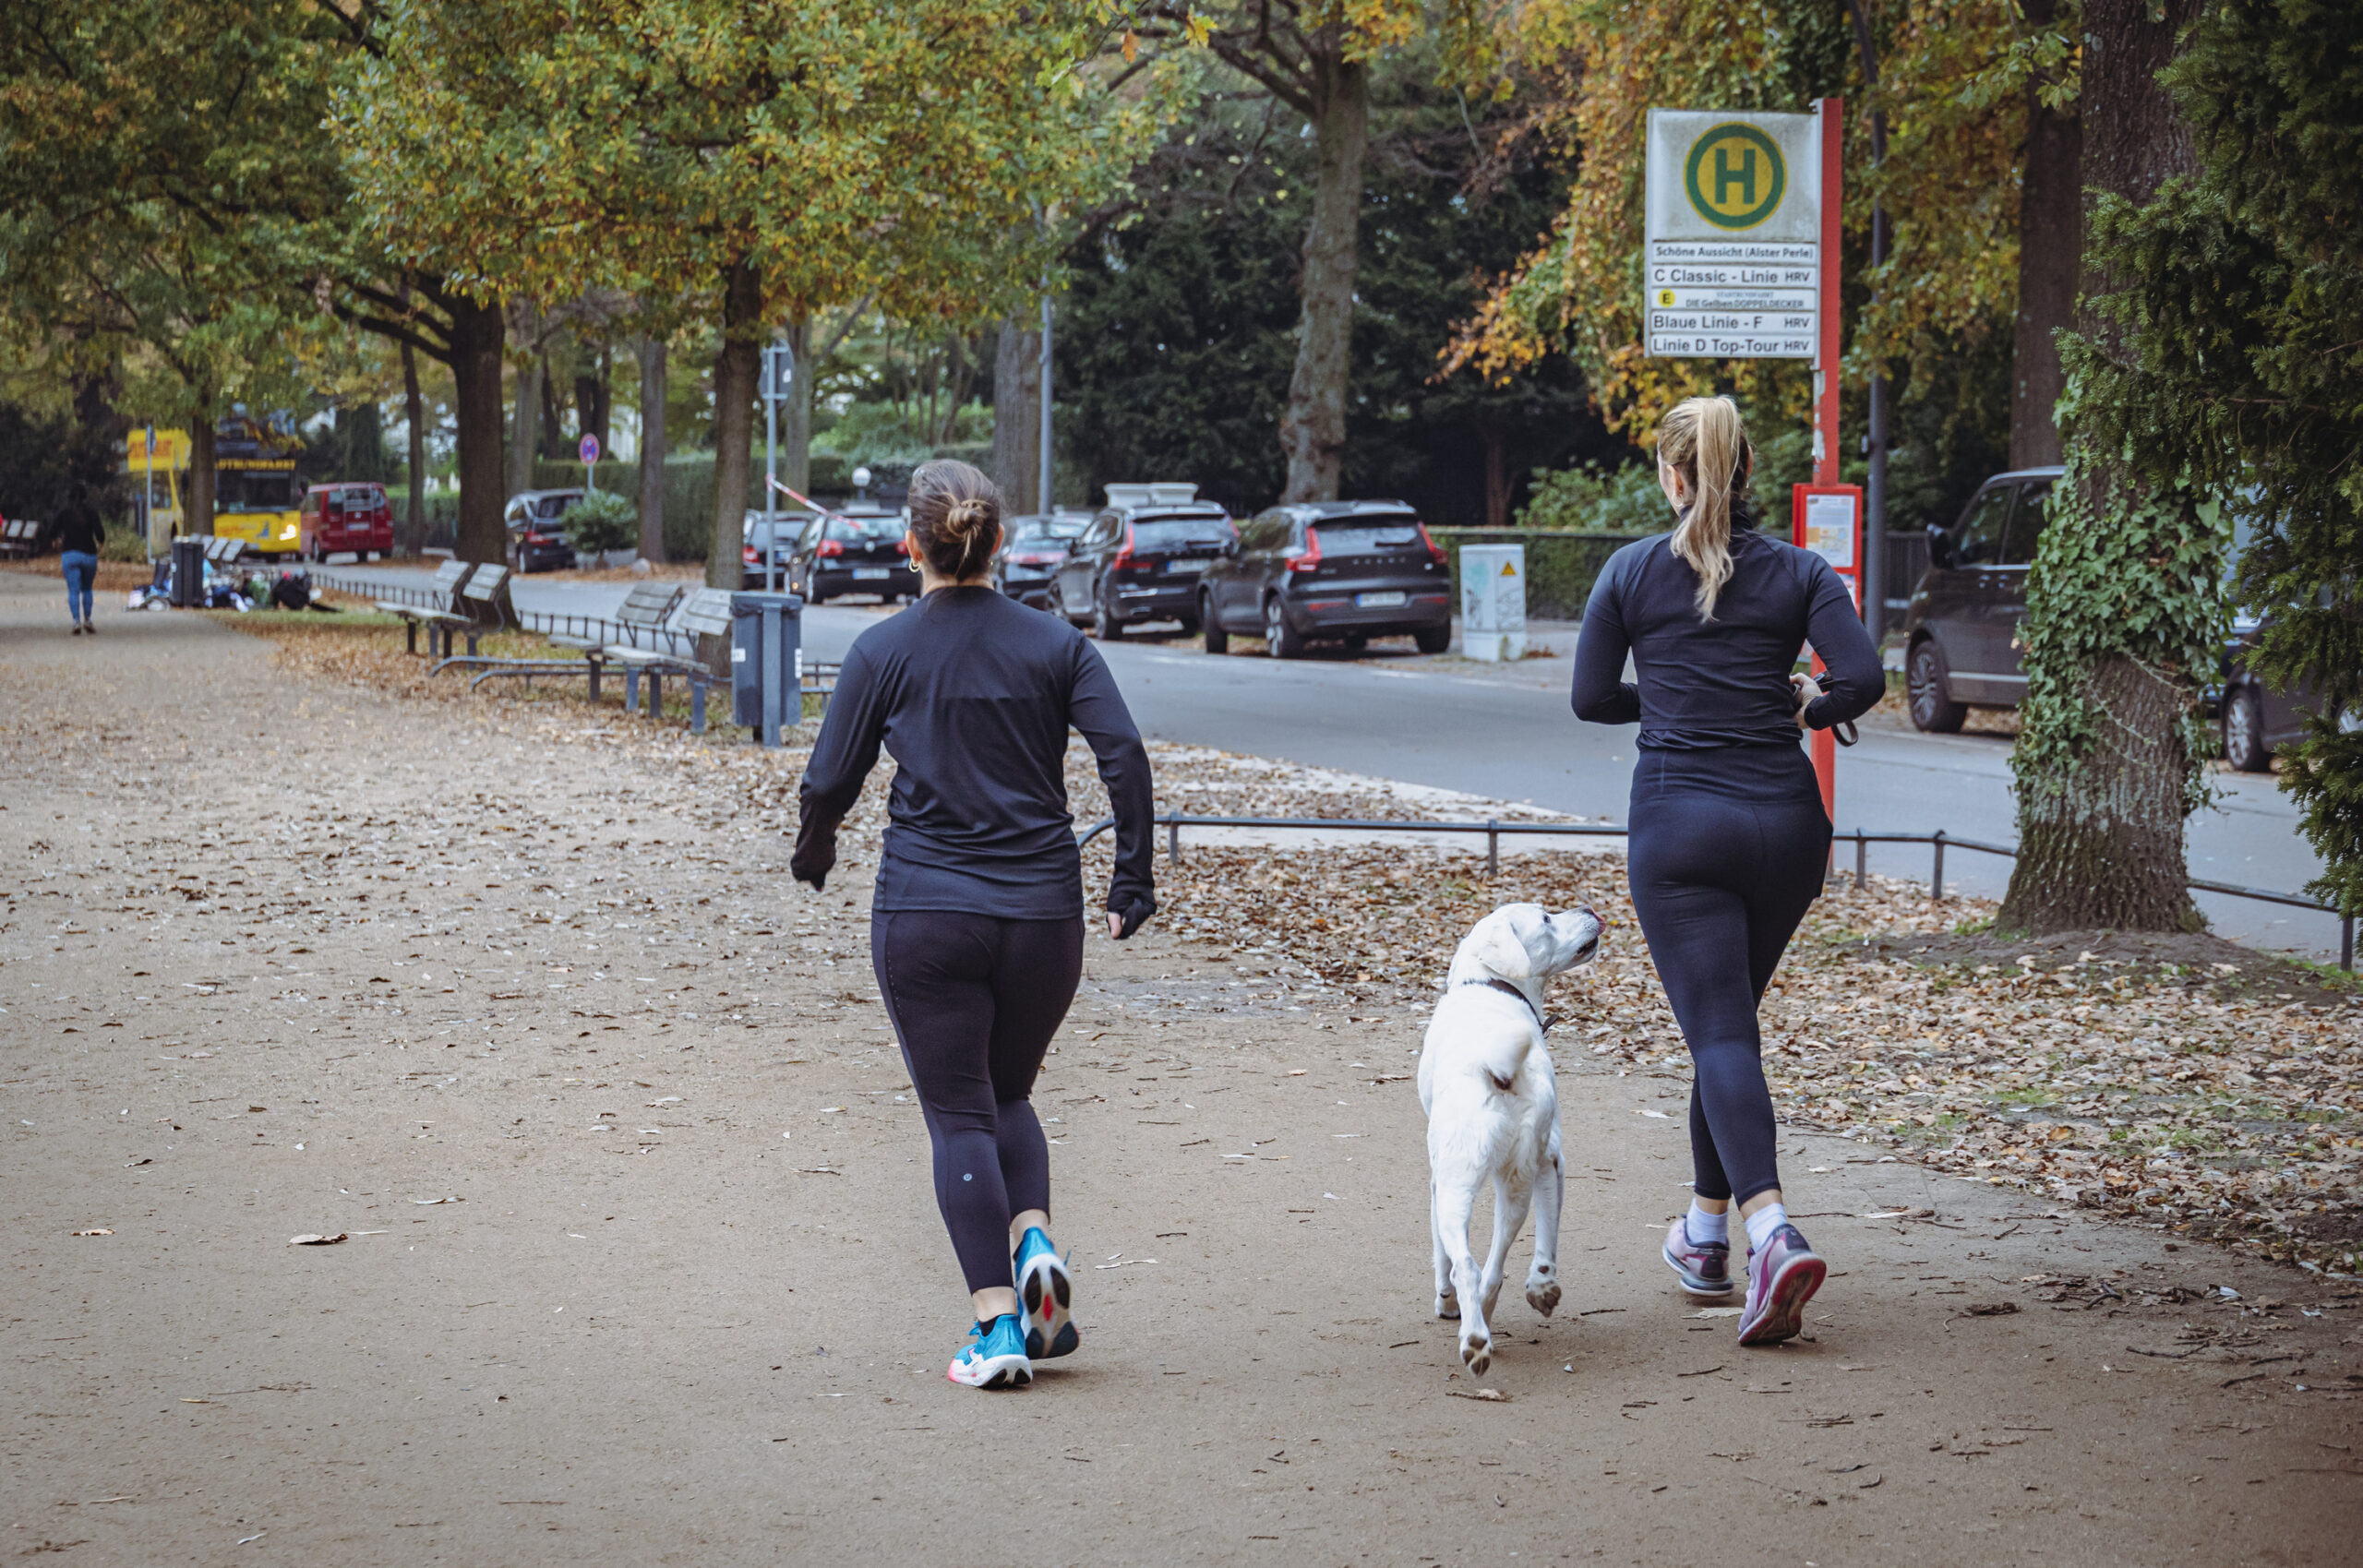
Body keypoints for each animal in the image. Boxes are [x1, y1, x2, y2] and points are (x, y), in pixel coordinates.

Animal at [1418, 902, 1606, 1379]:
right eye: (1545, 919)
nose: (1589, 908)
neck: (1488, 985)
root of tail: (1497, 1070)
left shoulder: (1436, 1182)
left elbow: (1441, 1256)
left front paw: (1446, 1303)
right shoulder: (1550, 1161)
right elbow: (1547, 1237)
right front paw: (1542, 1287)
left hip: (1464, 1184)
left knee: (1470, 1266)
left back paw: (1474, 1333)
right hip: (1513, 1181)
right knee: (1490, 1268)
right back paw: (1480, 1332)